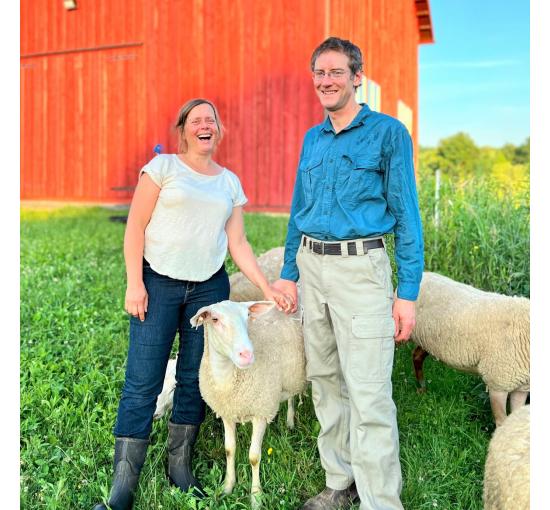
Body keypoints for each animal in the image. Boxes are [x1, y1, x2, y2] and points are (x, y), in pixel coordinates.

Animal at [157, 298, 308, 506]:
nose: (247, 354)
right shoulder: (226, 413)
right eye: (214, 319)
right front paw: (227, 488)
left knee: (293, 396)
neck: (228, 381)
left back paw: (291, 420)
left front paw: (256, 497)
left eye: (248, 316)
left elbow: (254, 457)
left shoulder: (261, 411)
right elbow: (229, 449)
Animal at [414, 270, 532, 426]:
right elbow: (501, 421)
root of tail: (425, 273)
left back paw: (422, 388)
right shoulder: (497, 382)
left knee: (416, 356)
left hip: (427, 341)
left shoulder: (521, 387)